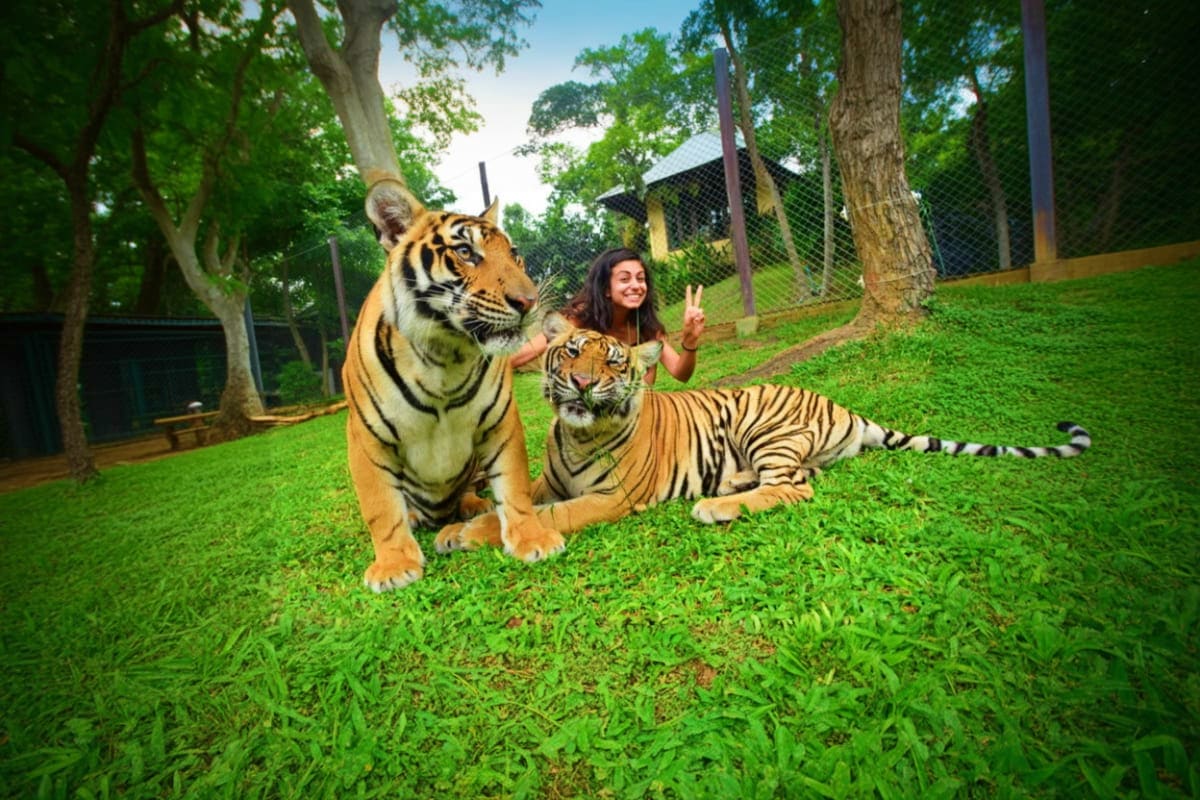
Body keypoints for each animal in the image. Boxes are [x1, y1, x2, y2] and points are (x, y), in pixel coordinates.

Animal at [344, 173, 564, 592]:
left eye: (514, 254)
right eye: (465, 251)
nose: (528, 302)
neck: (444, 355)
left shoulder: (500, 423)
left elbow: (514, 487)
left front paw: (532, 539)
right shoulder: (367, 438)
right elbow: (381, 507)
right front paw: (394, 565)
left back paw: (474, 505)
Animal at [434, 312, 1091, 548]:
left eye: (614, 364)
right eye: (571, 352)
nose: (583, 383)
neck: (576, 433)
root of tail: (842, 406)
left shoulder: (610, 499)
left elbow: (549, 514)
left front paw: (466, 533)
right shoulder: (553, 478)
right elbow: (525, 497)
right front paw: (467, 516)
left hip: (762, 427)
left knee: (795, 487)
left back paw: (715, 508)